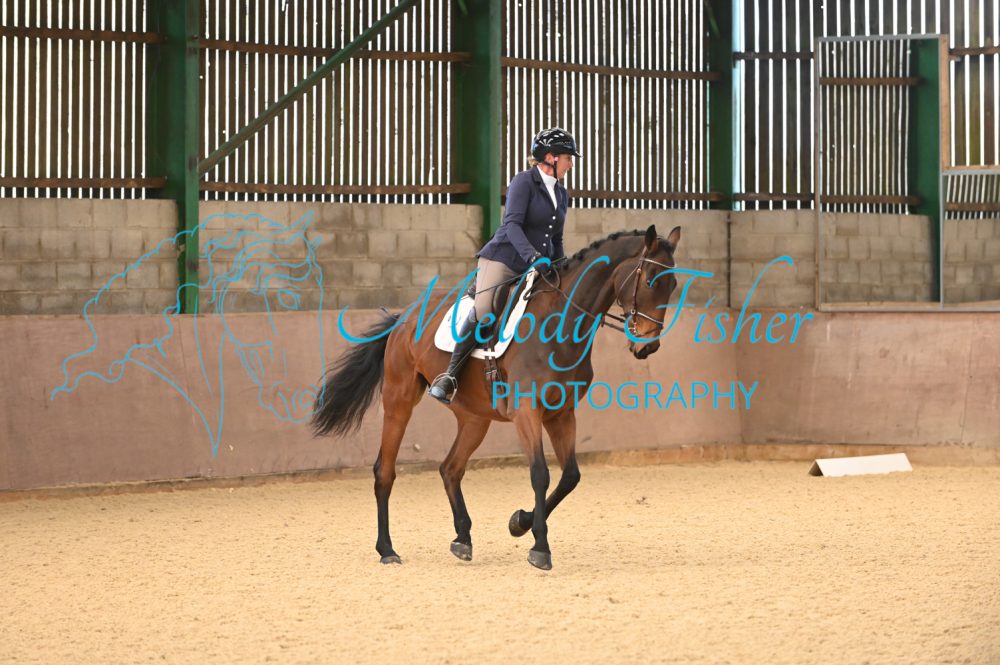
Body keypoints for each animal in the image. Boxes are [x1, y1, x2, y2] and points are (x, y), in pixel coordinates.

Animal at [312, 224, 681, 570]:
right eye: (650, 280)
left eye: (673, 285)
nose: (647, 347)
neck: (559, 325)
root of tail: (403, 318)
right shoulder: (527, 413)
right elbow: (540, 473)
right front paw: (540, 548)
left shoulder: (561, 414)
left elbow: (570, 476)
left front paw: (520, 522)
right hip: (399, 399)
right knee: (385, 471)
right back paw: (387, 549)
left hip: (474, 418)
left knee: (450, 468)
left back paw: (462, 539)